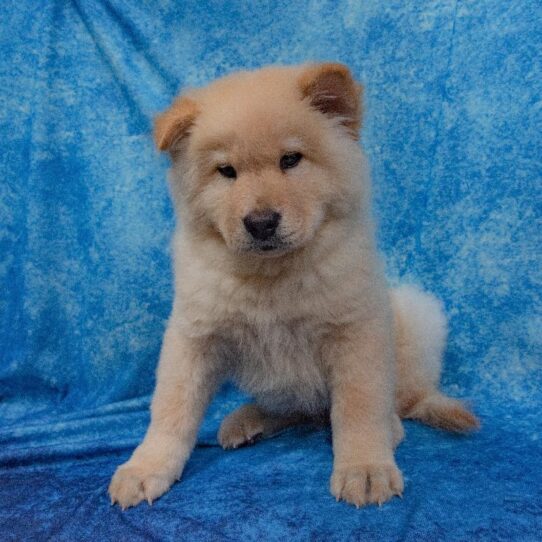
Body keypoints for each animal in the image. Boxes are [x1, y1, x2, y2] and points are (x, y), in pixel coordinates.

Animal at [109, 62, 480, 510]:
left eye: (291, 160)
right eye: (227, 171)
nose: (261, 222)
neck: (273, 274)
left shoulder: (355, 330)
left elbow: (359, 406)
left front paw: (365, 469)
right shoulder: (195, 335)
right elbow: (171, 408)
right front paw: (146, 468)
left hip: (414, 314)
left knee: (401, 400)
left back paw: (390, 426)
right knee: (295, 408)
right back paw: (246, 420)